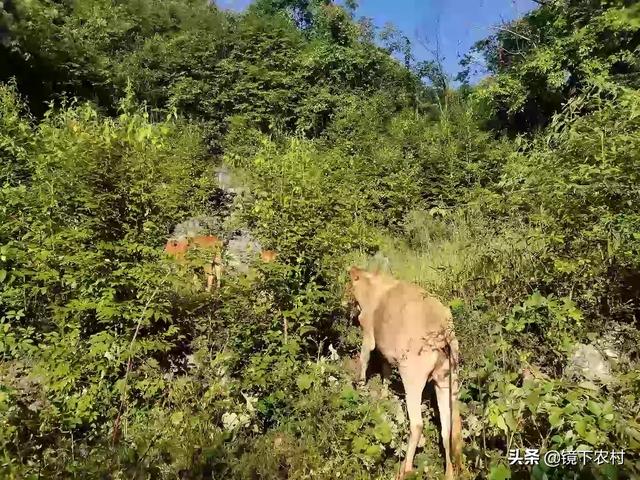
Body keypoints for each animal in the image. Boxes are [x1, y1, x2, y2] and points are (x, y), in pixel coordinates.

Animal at [348, 266, 462, 480]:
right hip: (447, 381)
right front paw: (383, 396)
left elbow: (364, 360)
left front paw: (360, 388)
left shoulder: (368, 335)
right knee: (449, 429)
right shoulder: (386, 352)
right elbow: (385, 371)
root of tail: (443, 330)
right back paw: (449, 473)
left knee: (417, 424)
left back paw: (405, 469)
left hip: (412, 379)